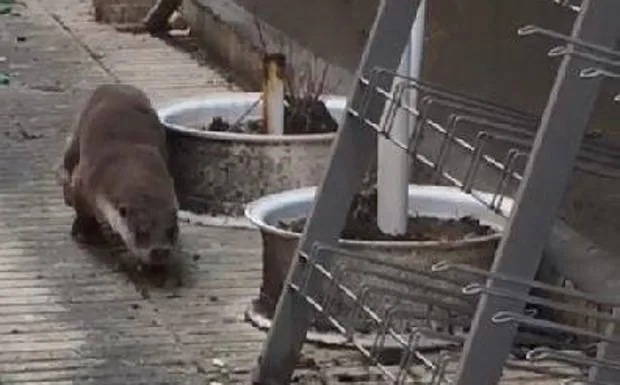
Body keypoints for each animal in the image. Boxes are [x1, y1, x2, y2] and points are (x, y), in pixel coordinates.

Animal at [58, 83, 179, 264]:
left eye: (172, 231)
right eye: (141, 232)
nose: (159, 251)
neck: (132, 163)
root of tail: (113, 86)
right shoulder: (84, 181)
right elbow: (82, 209)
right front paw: (86, 231)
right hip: (77, 134)